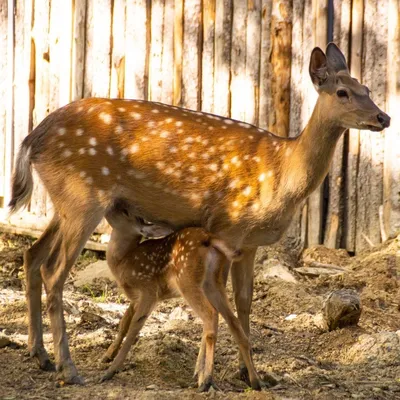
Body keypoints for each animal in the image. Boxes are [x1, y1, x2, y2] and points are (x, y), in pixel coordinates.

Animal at [99, 200, 260, 390]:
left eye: (125, 212)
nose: (110, 206)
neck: (123, 261)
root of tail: (208, 238)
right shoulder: (136, 298)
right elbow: (124, 322)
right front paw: (107, 356)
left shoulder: (148, 289)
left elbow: (134, 328)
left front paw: (110, 371)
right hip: (213, 282)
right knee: (232, 320)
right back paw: (255, 381)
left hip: (186, 279)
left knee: (210, 314)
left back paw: (206, 380)